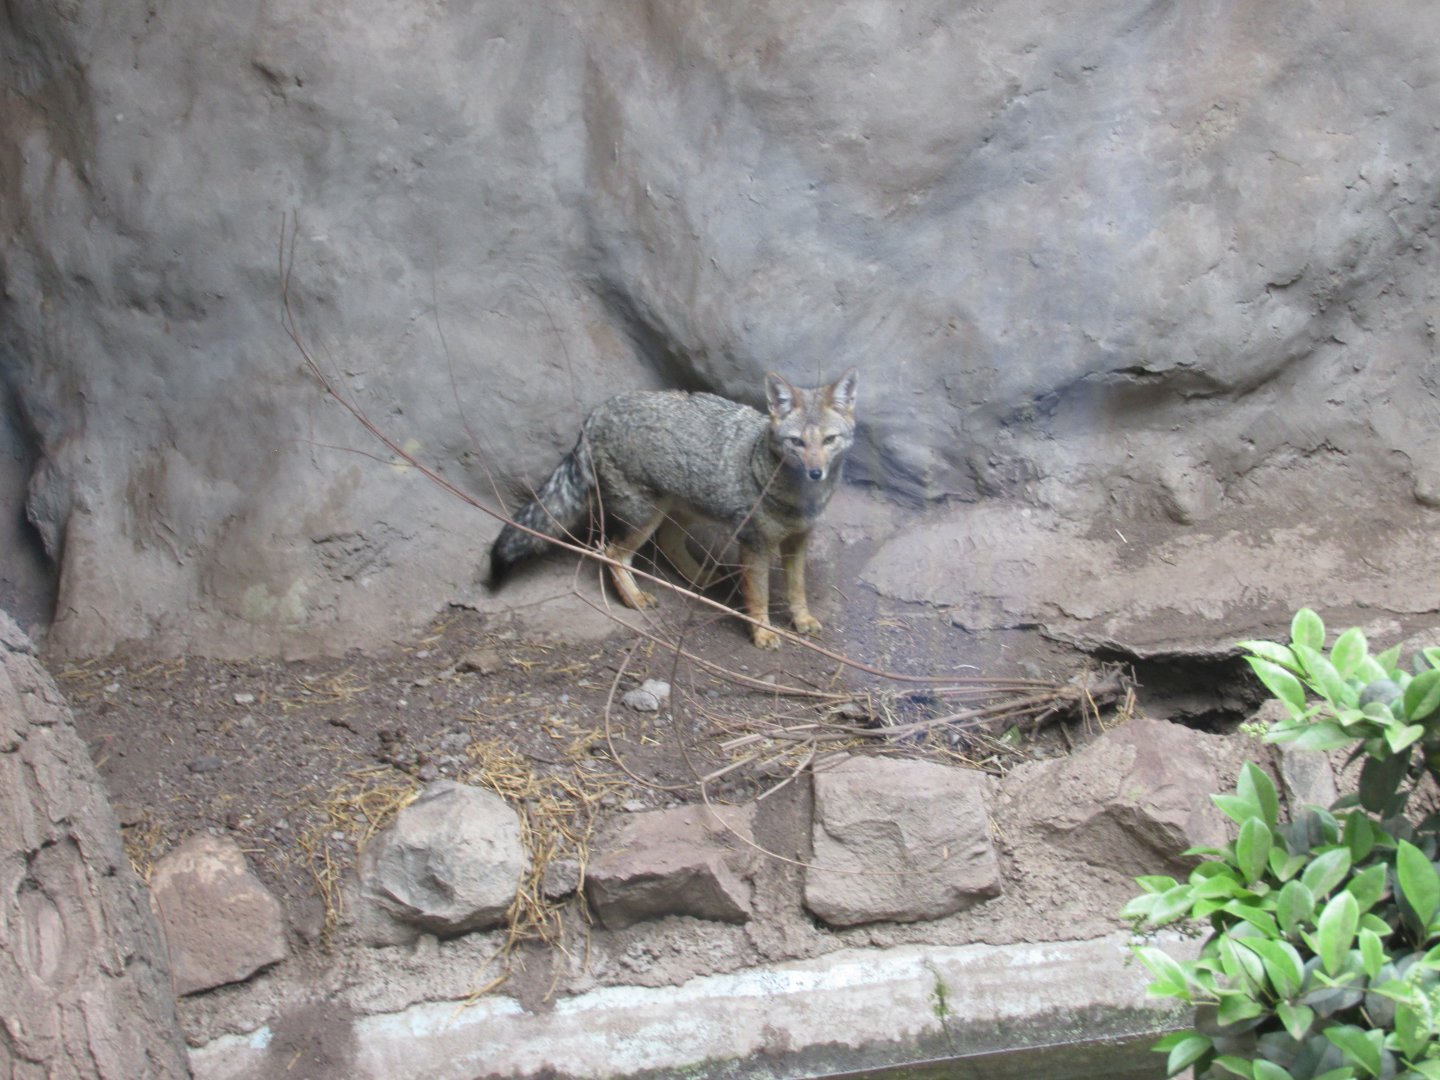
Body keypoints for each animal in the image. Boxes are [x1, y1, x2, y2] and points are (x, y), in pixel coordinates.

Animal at [486, 368, 859, 649]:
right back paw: (635, 599)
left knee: (668, 542)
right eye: (797, 442)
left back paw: (700, 577)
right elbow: (760, 596)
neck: (797, 498)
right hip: (644, 518)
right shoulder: (754, 543)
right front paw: (763, 633)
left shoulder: (799, 539)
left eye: (829, 441)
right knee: (610, 552)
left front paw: (803, 619)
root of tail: (596, 415)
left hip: (679, 509)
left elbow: (798, 589)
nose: (815, 472)